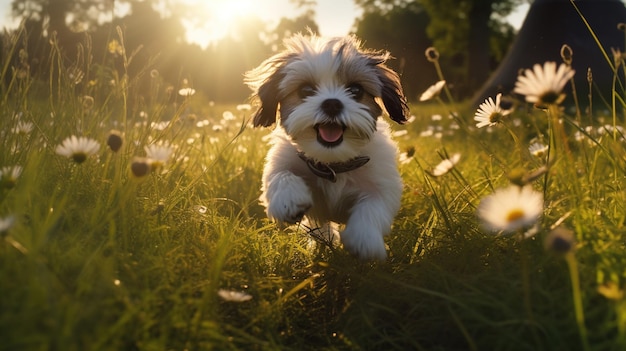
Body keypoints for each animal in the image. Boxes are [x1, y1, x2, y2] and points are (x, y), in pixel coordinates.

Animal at [244, 35, 410, 262]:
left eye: (356, 90)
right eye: (306, 90)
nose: (332, 103)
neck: (333, 163)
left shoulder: (382, 181)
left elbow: (374, 205)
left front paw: (364, 239)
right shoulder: (282, 159)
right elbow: (280, 175)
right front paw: (289, 200)